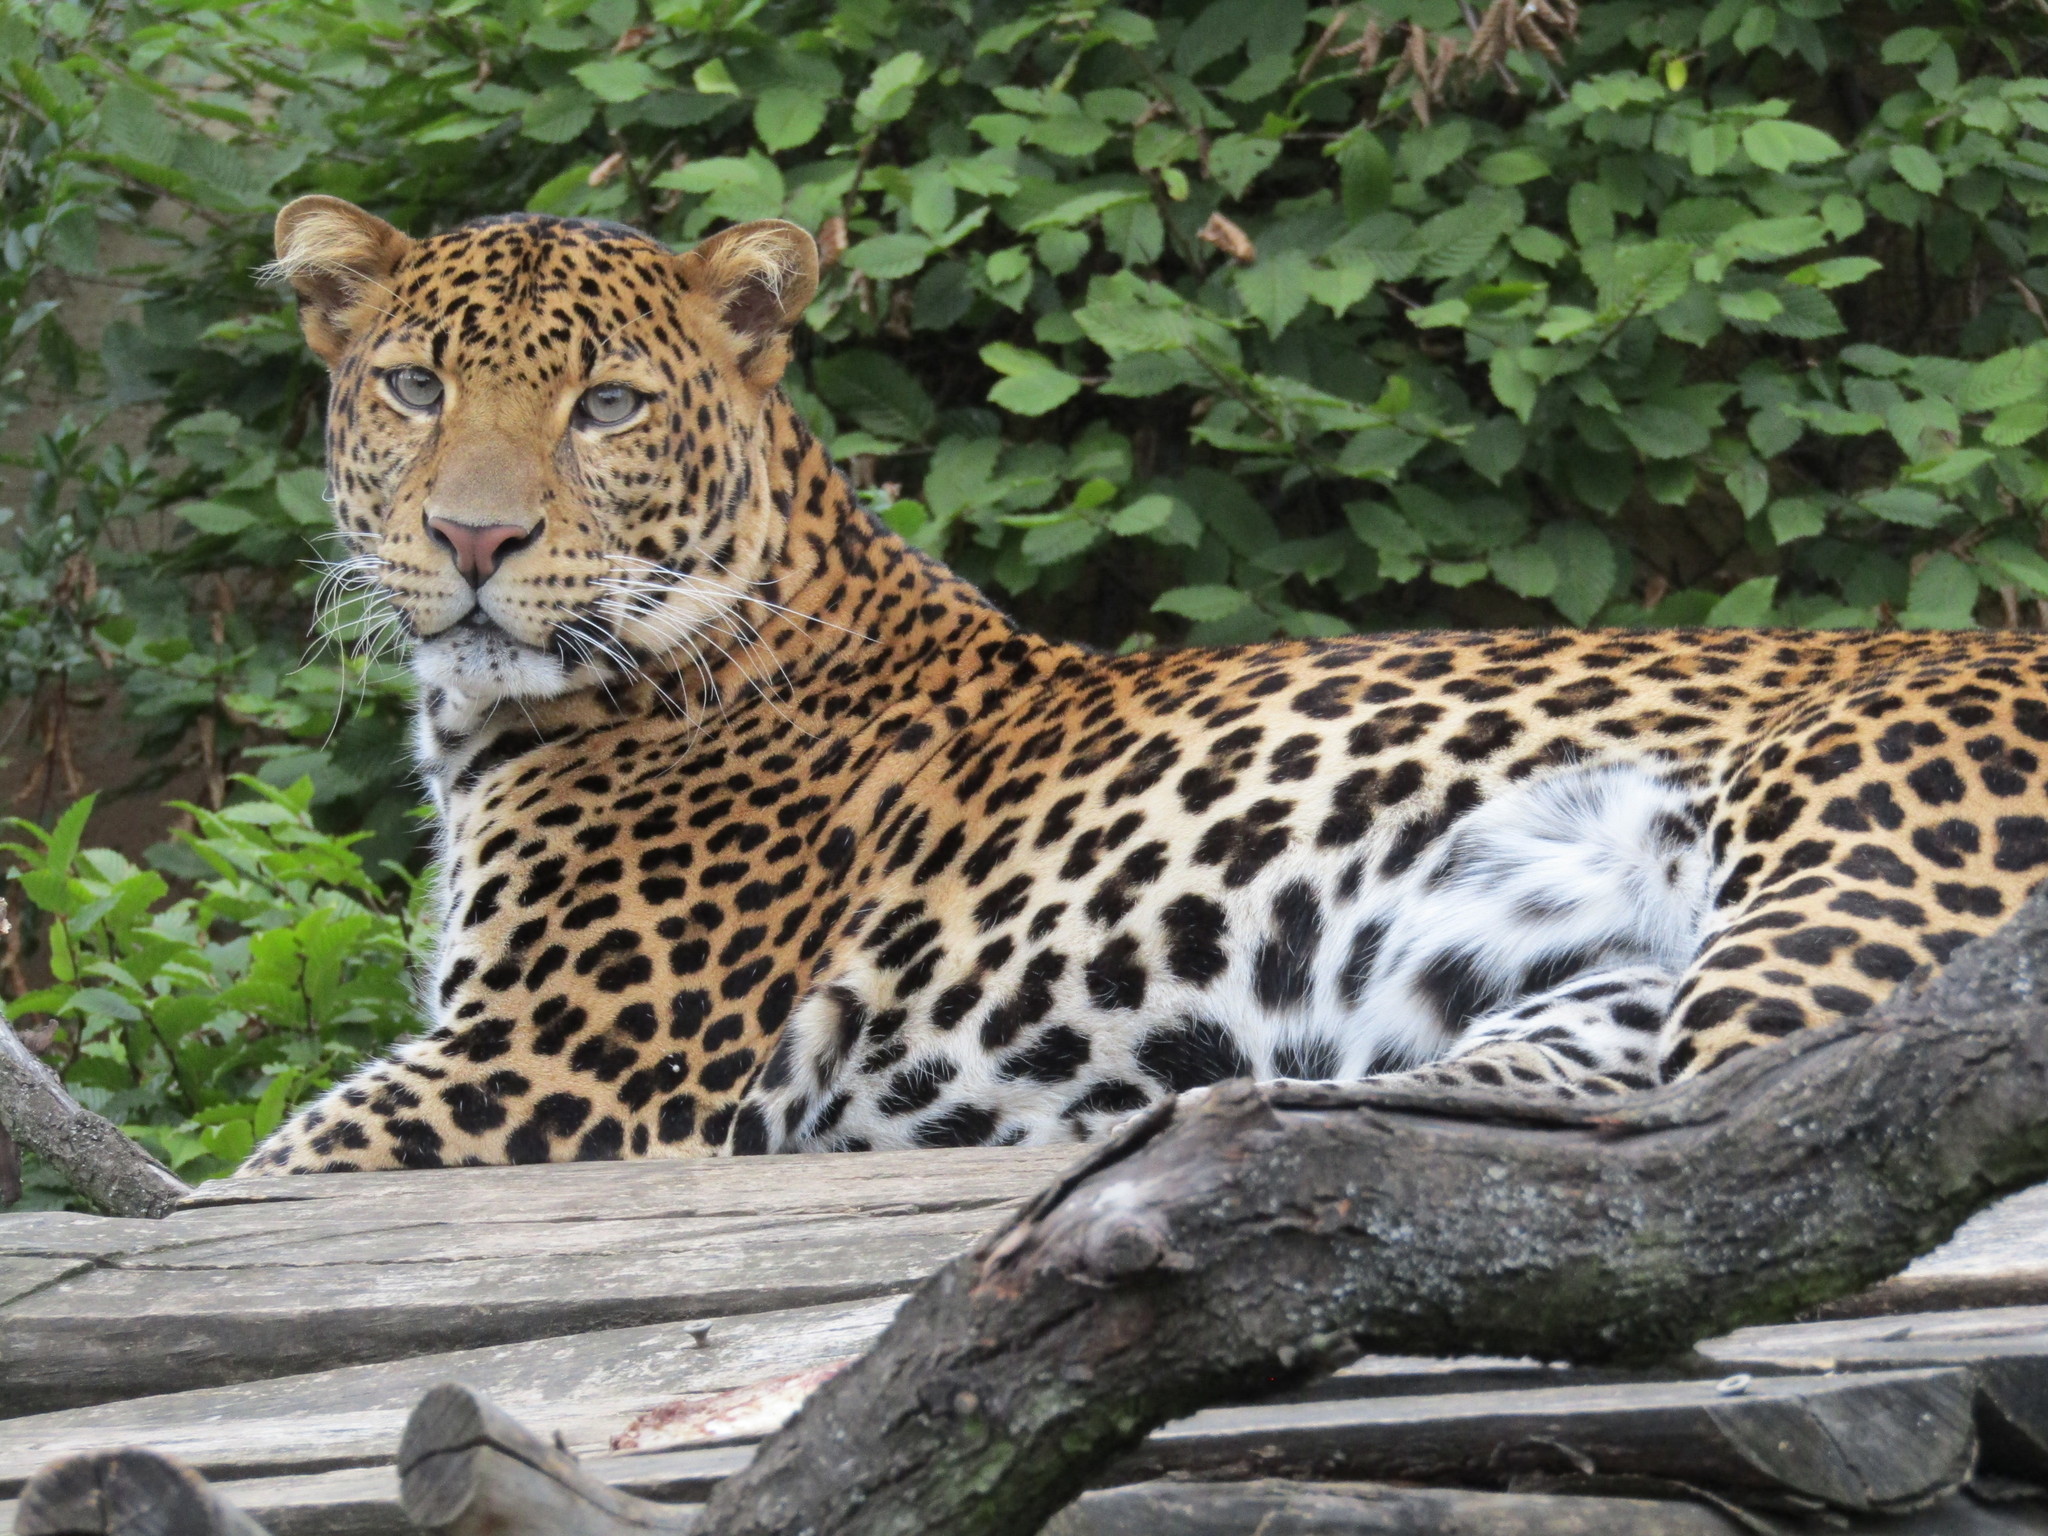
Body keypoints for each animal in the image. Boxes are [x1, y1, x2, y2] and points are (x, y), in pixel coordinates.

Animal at [247, 195, 2048, 1179]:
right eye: (412, 388)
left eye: (609, 407)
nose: (475, 538)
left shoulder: (546, 1073)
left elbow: (252, 1177)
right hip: (1583, 1006)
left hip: (1822, 886)